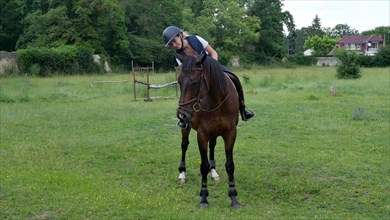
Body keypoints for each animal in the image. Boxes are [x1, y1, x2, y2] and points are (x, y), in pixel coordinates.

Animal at [176, 53, 241, 208]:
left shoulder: (230, 133)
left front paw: (233, 197)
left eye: (194, 82)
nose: (182, 115)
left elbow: (230, 165)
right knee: (184, 146)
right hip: (187, 129)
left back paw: (214, 173)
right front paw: (204, 198)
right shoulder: (202, 135)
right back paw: (182, 174)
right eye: (179, 81)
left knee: (212, 146)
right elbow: (203, 166)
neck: (217, 100)